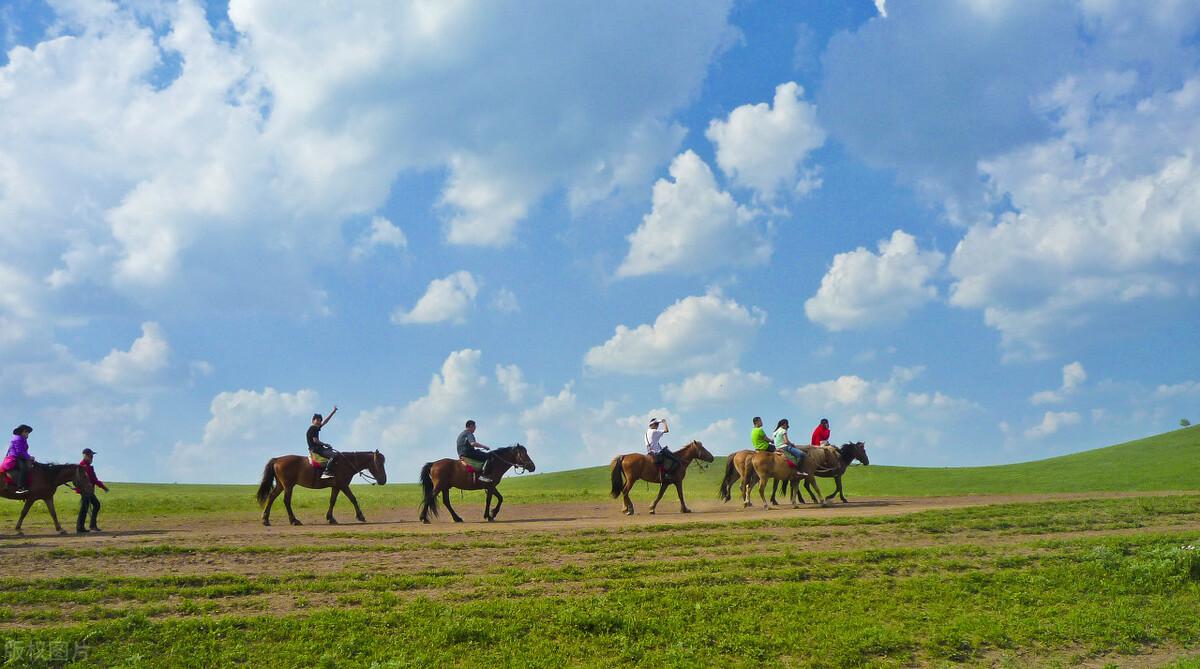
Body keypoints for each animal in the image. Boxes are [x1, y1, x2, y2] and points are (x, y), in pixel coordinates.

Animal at [255, 450, 386, 529]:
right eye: (379, 463)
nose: (383, 480)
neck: (345, 463)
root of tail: (277, 459)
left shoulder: (336, 487)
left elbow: (332, 501)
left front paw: (330, 518)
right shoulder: (343, 485)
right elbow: (353, 499)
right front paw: (360, 516)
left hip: (281, 485)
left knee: (272, 497)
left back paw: (265, 519)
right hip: (288, 486)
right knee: (286, 501)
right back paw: (294, 520)